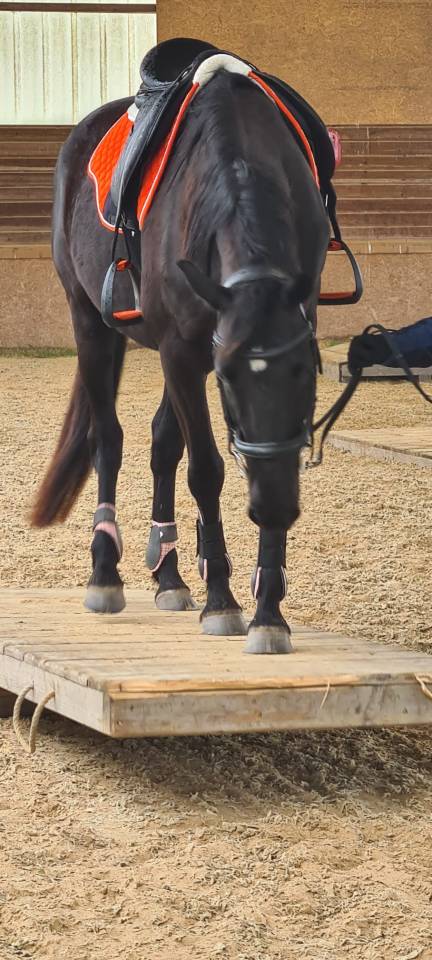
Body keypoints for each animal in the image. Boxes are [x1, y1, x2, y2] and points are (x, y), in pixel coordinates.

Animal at [31, 64, 329, 654]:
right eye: (230, 380)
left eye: (307, 373)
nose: (273, 506)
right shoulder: (182, 350)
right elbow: (206, 470)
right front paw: (223, 601)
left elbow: (198, 452)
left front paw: (268, 612)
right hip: (89, 321)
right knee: (108, 439)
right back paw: (105, 573)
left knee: (162, 442)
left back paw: (168, 574)